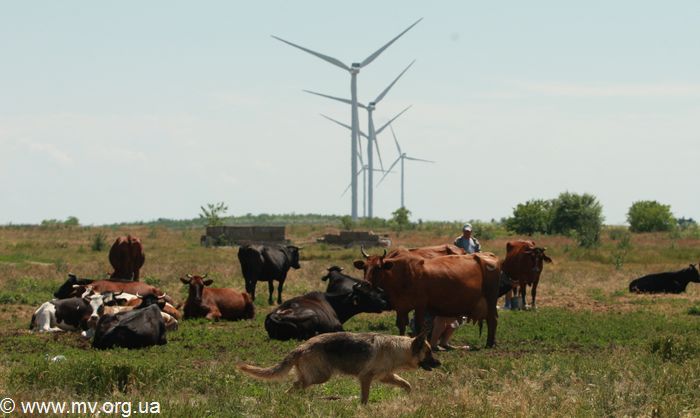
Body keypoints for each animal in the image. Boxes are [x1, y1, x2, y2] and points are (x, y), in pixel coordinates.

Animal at [354, 248, 502, 347]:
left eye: (378, 267)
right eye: (364, 267)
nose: (365, 284)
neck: (401, 274)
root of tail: (489, 255)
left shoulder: (420, 305)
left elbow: (419, 327)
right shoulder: (401, 306)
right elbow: (401, 325)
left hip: (491, 298)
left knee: (493, 320)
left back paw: (489, 344)